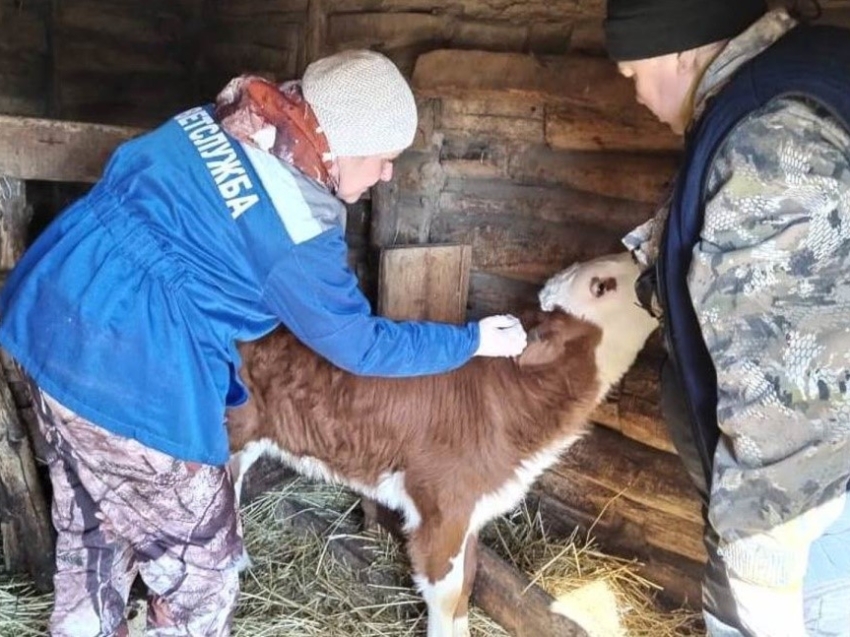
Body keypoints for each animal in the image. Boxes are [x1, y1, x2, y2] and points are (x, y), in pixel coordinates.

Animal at [225, 252, 656, 636]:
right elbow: (446, 596)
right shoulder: (442, 507)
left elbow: (467, 583)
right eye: (601, 286)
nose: (645, 259)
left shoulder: (471, 509)